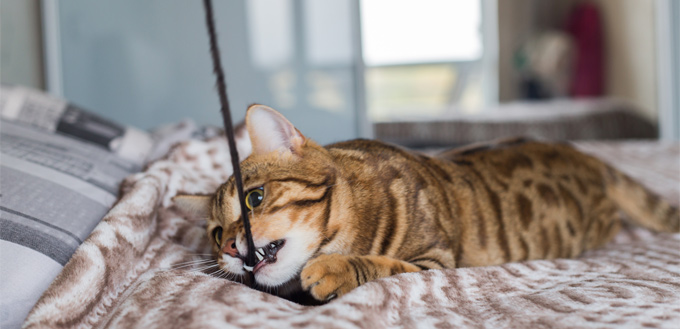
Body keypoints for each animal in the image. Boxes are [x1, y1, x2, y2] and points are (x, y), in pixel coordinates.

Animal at [174, 104, 676, 302]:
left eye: (255, 197)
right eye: (215, 233)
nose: (230, 248)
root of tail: (583, 152)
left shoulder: (435, 259)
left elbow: (381, 263)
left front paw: (335, 268)